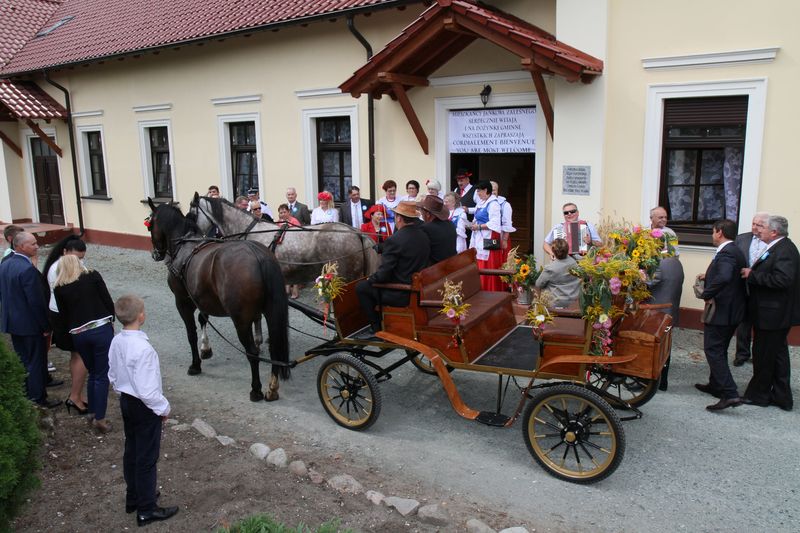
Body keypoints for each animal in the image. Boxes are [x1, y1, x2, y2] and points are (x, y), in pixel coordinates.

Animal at [148, 198, 290, 400]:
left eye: (150, 224)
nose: (156, 254)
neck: (184, 244)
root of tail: (259, 256)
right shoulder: (202, 298)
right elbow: (203, 319)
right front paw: (205, 349)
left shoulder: (183, 301)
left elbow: (191, 333)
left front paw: (195, 364)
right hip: (270, 312)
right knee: (274, 348)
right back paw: (272, 387)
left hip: (240, 320)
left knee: (252, 352)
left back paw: (256, 389)